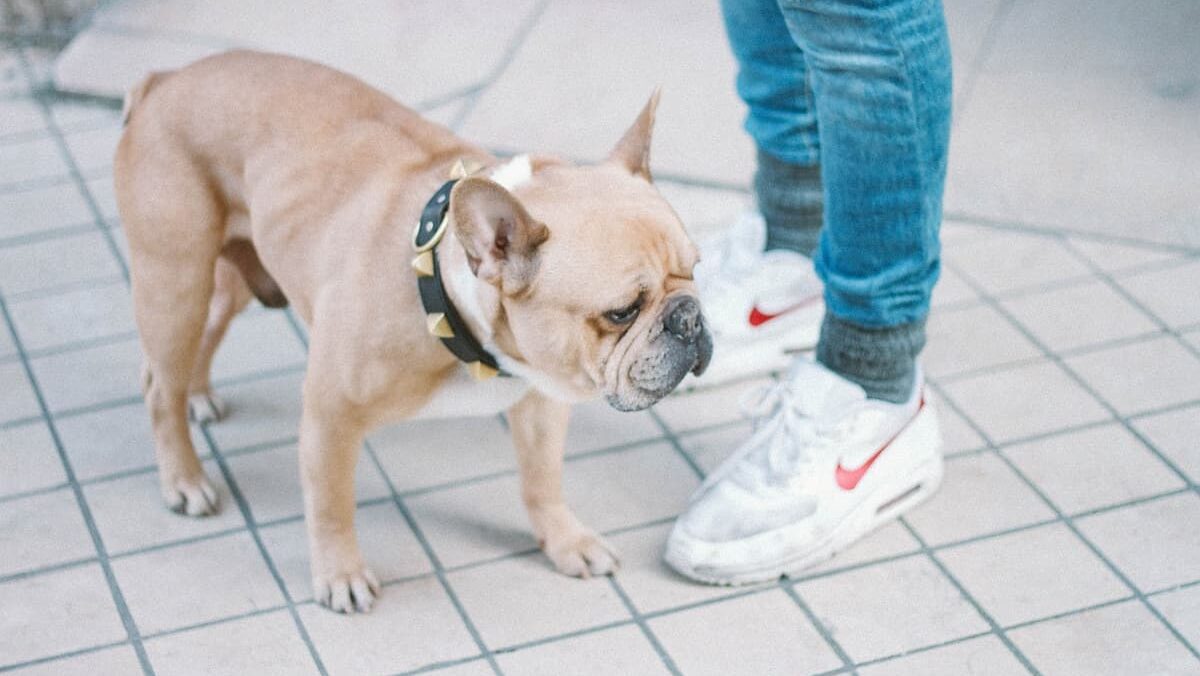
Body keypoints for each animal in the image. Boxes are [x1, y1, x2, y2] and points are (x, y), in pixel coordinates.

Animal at [114, 50, 710, 614]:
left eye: (696, 269)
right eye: (622, 311)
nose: (690, 319)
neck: (447, 297)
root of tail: (164, 80)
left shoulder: (541, 400)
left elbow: (542, 479)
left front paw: (565, 541)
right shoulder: (331, 417)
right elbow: (331, 504)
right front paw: (340, 575)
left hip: (232, 270)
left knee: (208, 327)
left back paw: (199, 395)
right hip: (176, 279)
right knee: (159, 383)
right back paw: (184, 479)